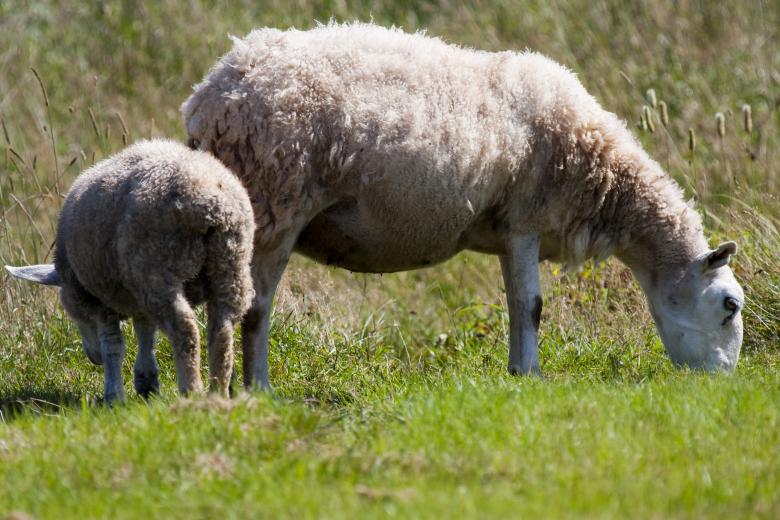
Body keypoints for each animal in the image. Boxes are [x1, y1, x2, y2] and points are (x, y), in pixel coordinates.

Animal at [6, 139, 255, 402]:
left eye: (74, 314)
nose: (92, 358)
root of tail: (208, 199)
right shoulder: (135, 295)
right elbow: (146, 333)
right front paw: (147, 382)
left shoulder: (100, 299)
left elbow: (113, 346)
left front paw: (114, 394)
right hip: (230, 264)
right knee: (222, 329)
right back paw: (218, 389)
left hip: (156, 266)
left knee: (184, 328)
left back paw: (191, 389)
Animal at [181, 22, 744, 386]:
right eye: (730, 305)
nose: (724, 381)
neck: (603, 177)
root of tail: (210, 95)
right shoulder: (526, 218)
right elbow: (534, 306)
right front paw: (534, 375)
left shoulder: (507, 233)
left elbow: (517, 305)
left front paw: (518, 373)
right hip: (274, 201)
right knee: (254, 306)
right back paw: (256, 387)